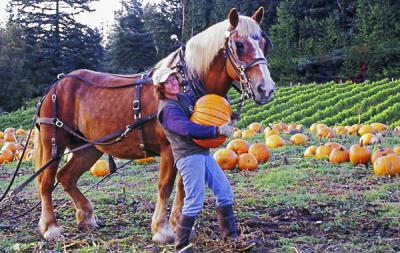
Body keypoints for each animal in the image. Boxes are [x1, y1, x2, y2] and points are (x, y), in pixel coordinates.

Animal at [32, 6, 276, 242]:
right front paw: (162, 229)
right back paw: (50, 228)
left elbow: (183, 187)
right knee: (46, 182)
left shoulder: (190, 148)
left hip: (89, 148)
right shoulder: (169, 148)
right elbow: (165, 186)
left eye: (264, 45)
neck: (185, 84)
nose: (266, 89)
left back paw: (86, 217)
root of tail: (56, 85)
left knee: (66, 177)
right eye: (240, 45)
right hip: (54, 143)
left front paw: (178, 224)